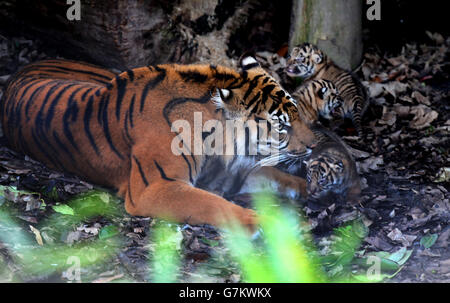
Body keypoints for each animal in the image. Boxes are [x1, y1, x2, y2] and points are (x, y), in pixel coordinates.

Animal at [0, 57, 316, 232]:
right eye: (282, 126)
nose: (315, 144)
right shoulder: (155, 187)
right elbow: (214, 204)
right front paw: (267, 225)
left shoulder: (227, 173)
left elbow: (272, 175)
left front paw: (310, 187)